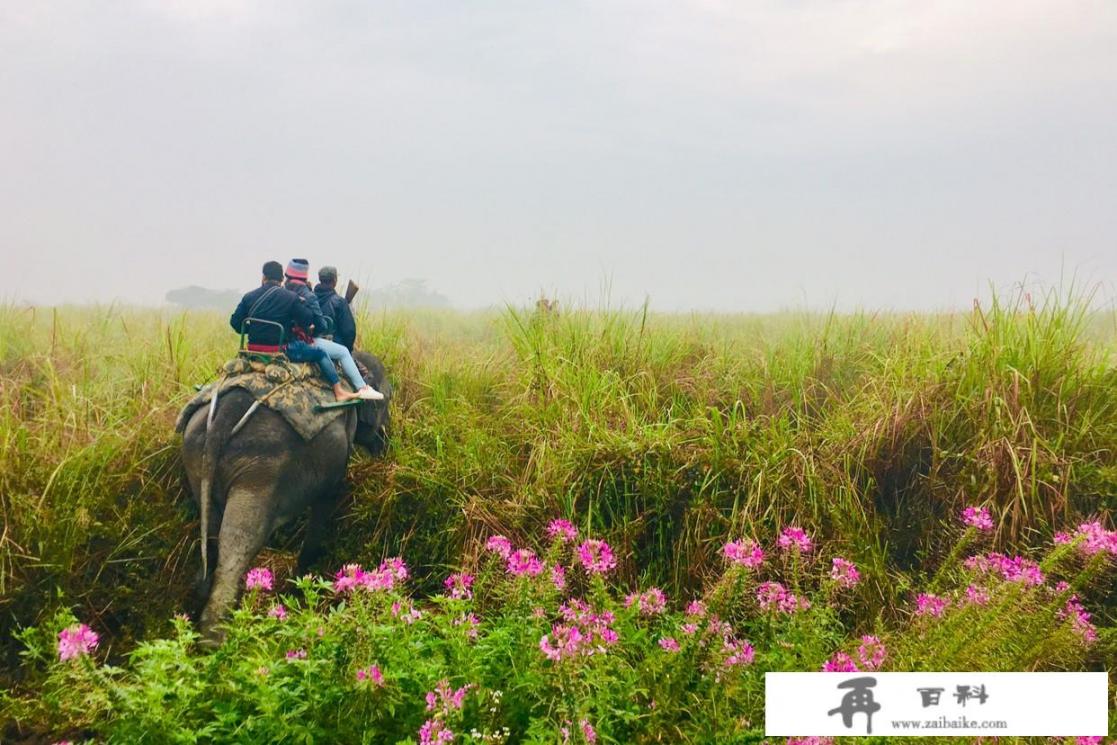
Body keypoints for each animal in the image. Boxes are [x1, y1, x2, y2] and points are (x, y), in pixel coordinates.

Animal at [180, 350, 390, 643]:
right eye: (387, 398)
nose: (385, 444)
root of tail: (222, 417)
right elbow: (326, 500)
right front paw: (302, 582)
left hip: (195, 456)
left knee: (210, 531)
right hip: (260, 467)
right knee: (238, 541)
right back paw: (216, 638)